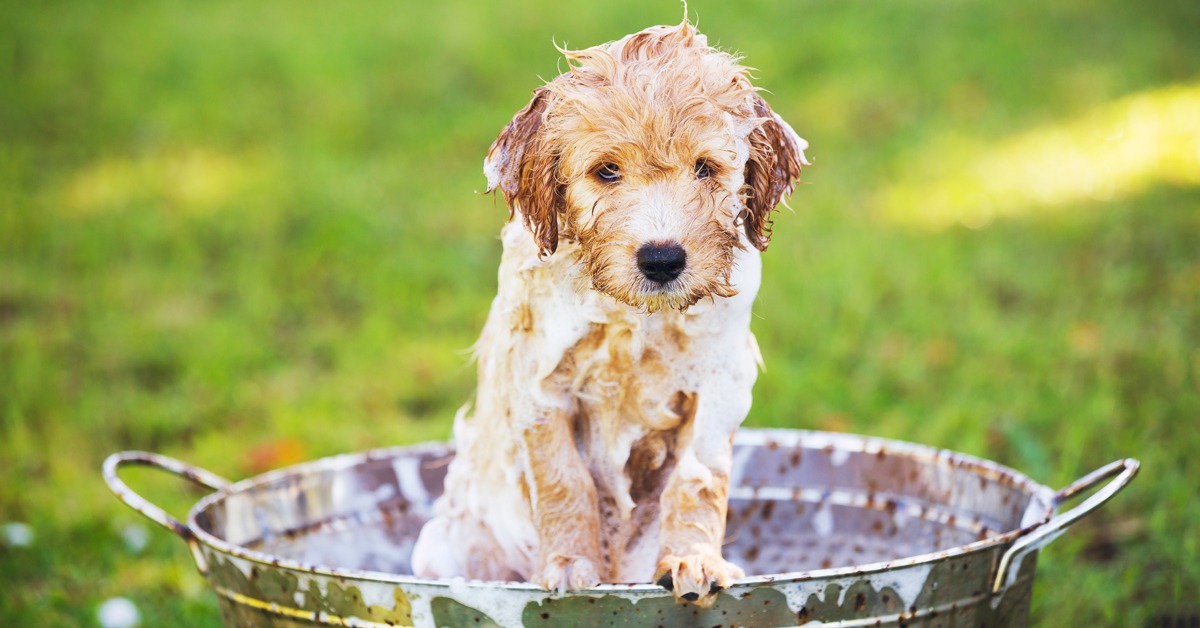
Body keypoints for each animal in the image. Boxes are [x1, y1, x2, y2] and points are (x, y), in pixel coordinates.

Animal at [408, 20, 811, 609]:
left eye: (706, 169)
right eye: (606, 171)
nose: (663, 259)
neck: (633, 318)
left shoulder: (718, 384)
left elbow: (698, 480)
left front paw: (695, 559)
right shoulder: (540, 381)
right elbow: (562, 477)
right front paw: (570, 564)